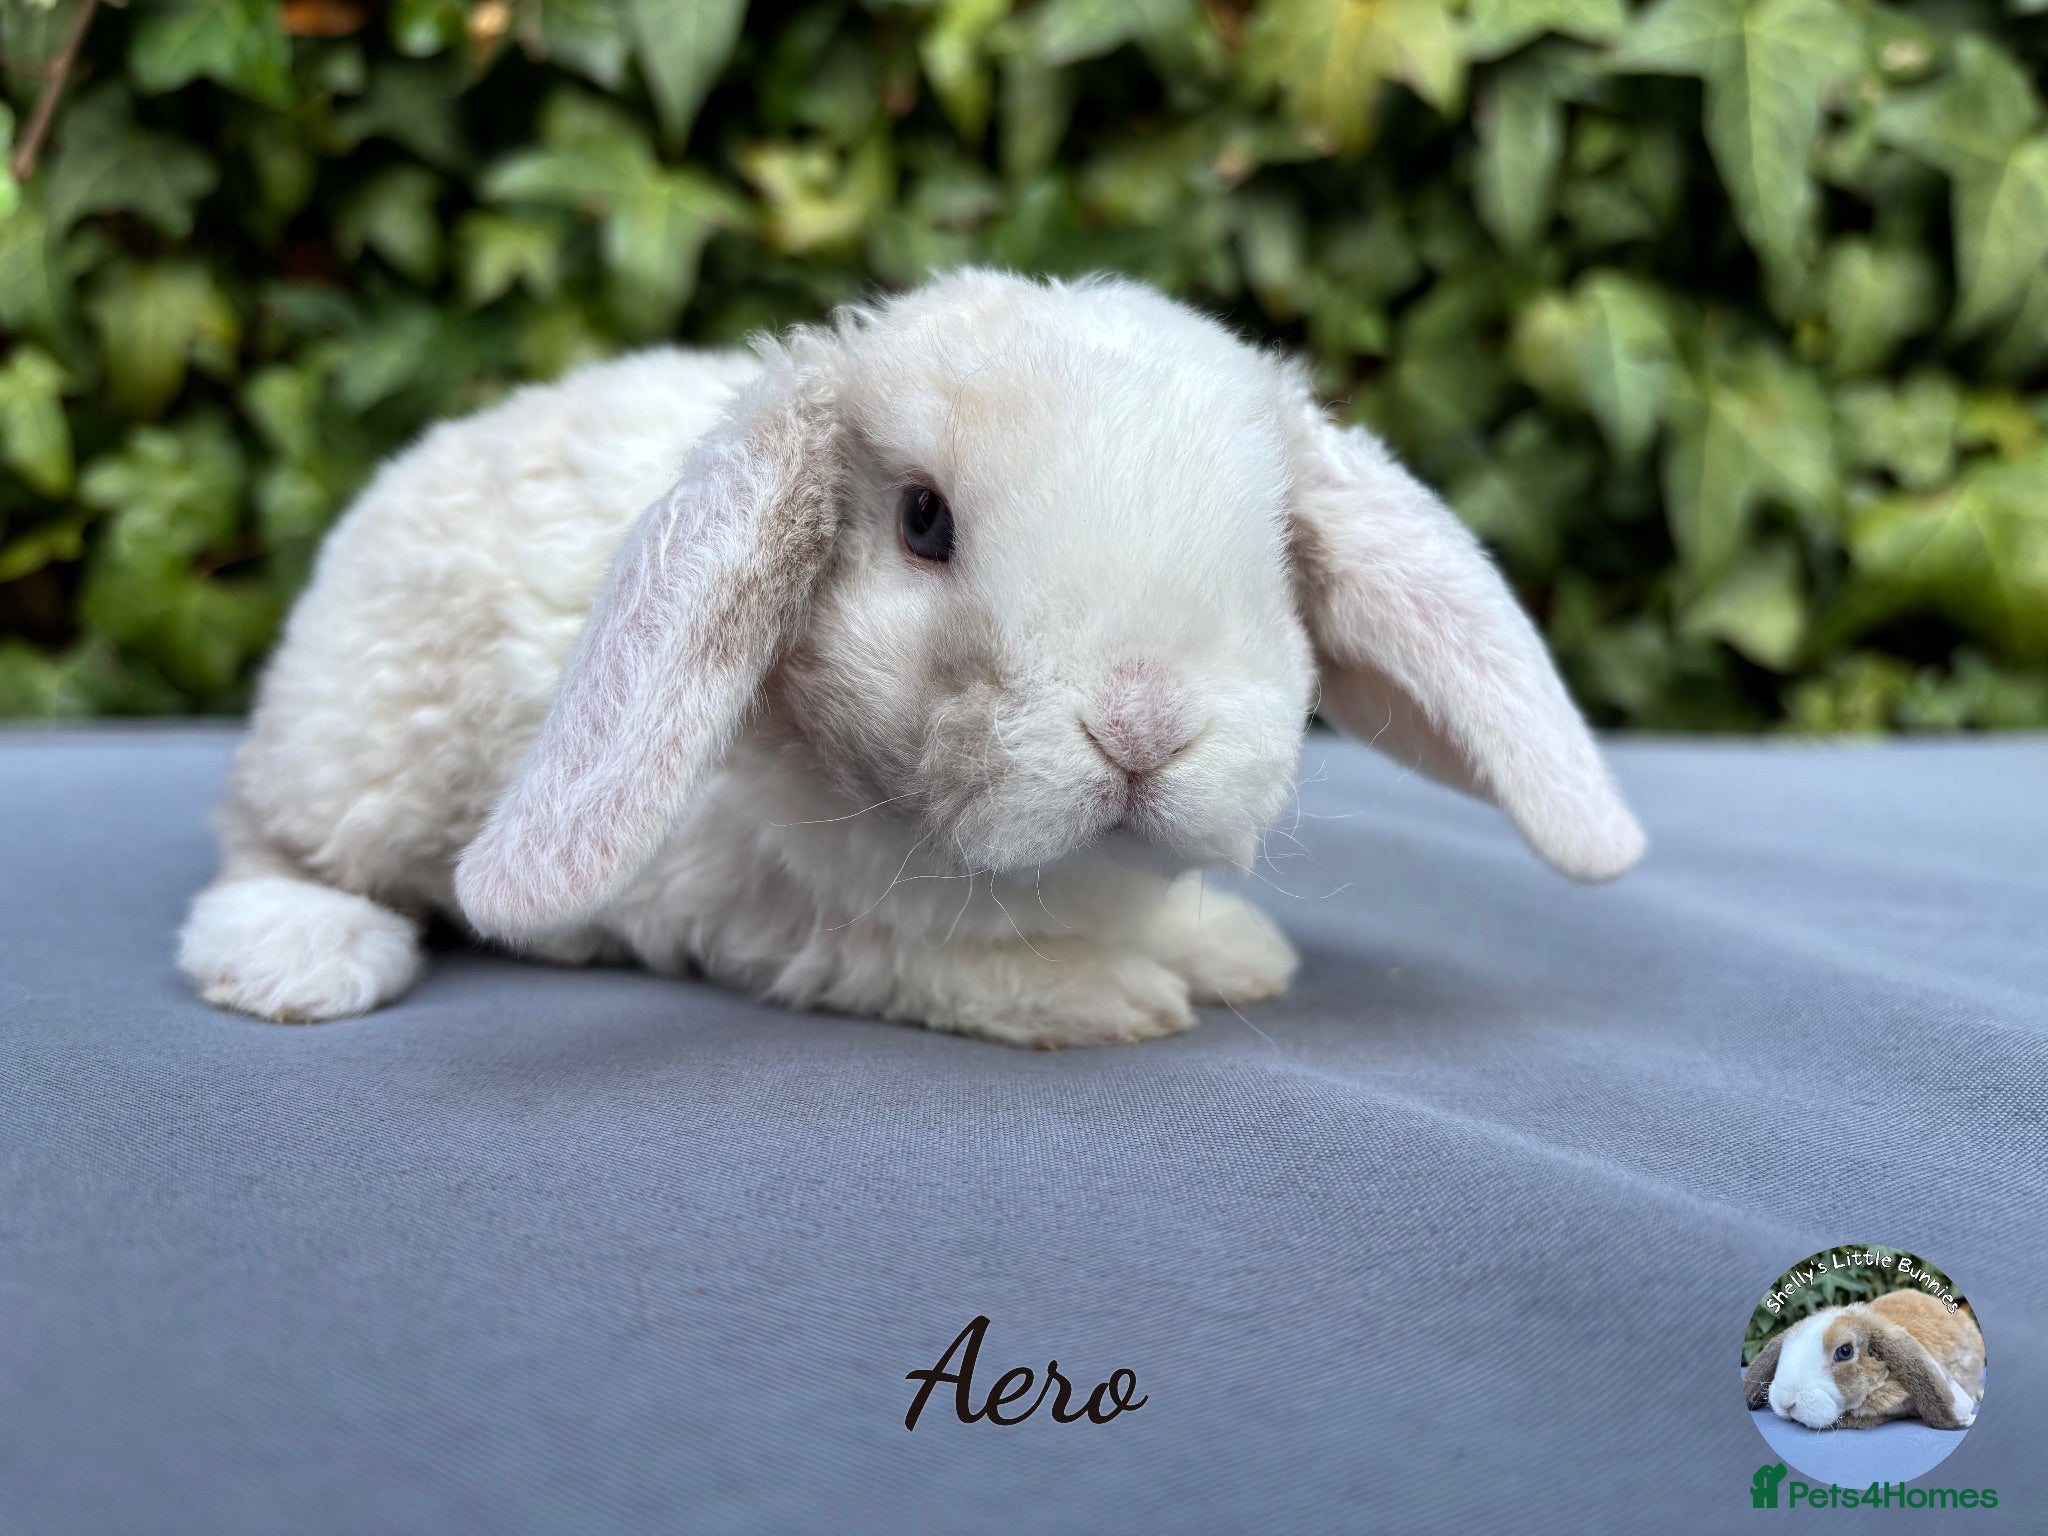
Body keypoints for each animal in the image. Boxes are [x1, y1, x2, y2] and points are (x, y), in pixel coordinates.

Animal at [177, 269, 1645, 1048]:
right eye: (924, 521)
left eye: (1280, 542)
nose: (1142, 725)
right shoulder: (776, 919)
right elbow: (921, 961)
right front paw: (1107, 996)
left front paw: (1230, 950)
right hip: (365, 757)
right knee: (264, 846)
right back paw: (303, 958)